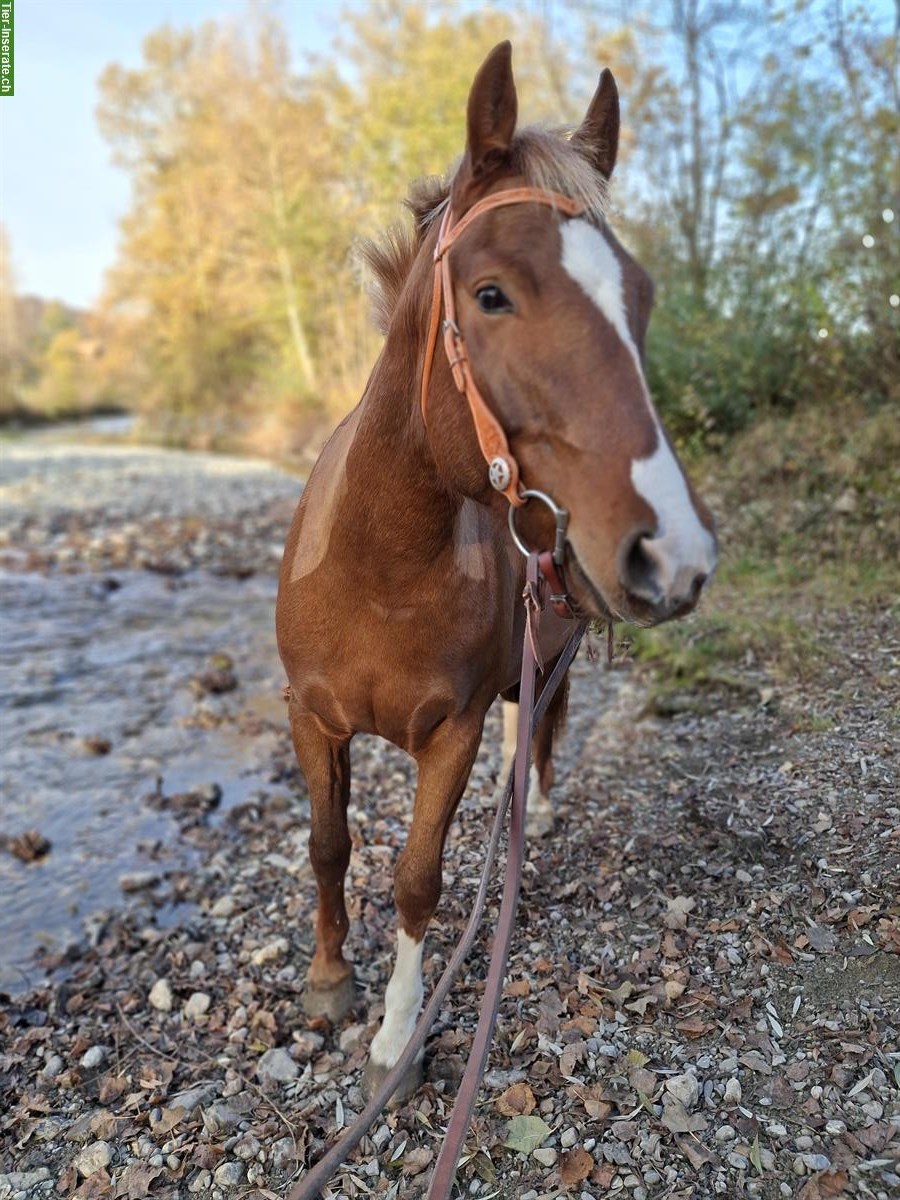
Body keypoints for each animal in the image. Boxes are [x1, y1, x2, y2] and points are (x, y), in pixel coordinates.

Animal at [274, 44, 720, 1099]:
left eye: (639, 297)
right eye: (490, 294)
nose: (673, 552)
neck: (379, 572)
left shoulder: (452, 732)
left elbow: (416, 877)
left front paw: (396, 1040)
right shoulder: (310, 717)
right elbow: (328, 844)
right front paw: (328, 981)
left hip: (555, 650)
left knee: (545, 730)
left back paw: (540, 814)